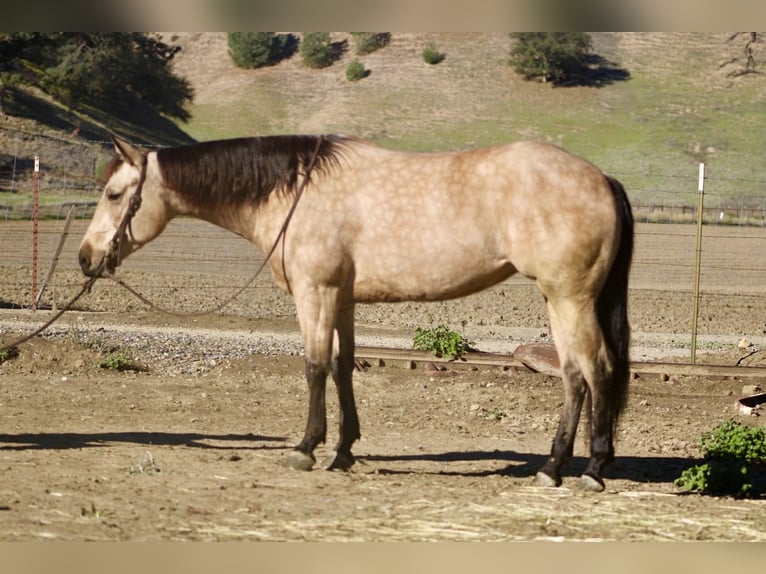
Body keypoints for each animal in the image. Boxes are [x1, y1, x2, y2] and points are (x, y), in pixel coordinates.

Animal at [78, 134, 633, 492]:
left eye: (114, 194)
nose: (86, 258)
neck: (295, 190)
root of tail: (601, 178)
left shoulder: (315, 293)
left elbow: (315, 366)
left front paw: (307, 448)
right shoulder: (341, 300)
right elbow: (344, 368)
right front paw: (343, 451)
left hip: (570, 298)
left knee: (598, 370)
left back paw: (592, 471)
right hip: (557, 300)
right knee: (573, 377)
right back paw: (553, 467)